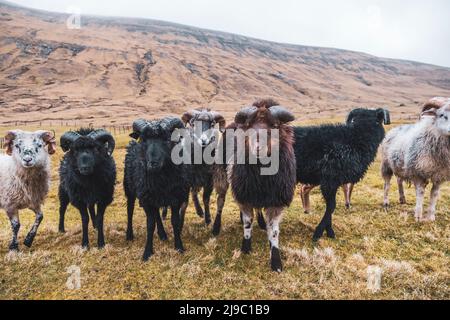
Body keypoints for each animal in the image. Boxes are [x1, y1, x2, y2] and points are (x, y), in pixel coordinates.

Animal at [123, 116, 190, 262]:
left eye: (167, 139)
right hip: (130, 188)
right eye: (144, 140)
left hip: (155, 197)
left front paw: (179, 247)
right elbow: (149, 225)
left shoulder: (175, 198)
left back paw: (162, 234)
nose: (153, 164)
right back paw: (129, 235)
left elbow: (175, 222)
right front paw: (147, 253)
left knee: (157, 215)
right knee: (130, 210)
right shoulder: (146, 200)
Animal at [229, 99, 296, 272]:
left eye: (274, 125)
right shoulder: (244, 198)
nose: (258, 147)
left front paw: (276, 262)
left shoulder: (276, 203)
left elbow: (274, 232)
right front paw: (245, 248)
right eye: (249, 125)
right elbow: (247, 224)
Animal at [296, 107, 390, 240]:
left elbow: (330, 206)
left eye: (377, 120)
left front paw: (329, 232)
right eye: (356, 120)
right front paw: (319, 233)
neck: (355, 140)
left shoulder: (334, 182)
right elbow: (331, 206)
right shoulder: (330, 180)